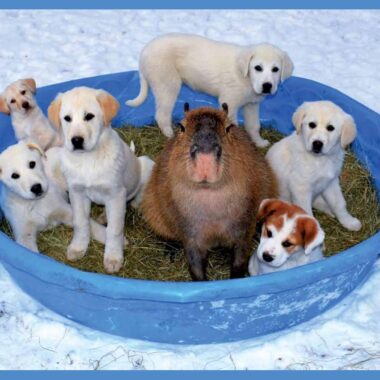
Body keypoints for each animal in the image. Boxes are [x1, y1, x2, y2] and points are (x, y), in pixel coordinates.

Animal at [49, 87, 145, 274]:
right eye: (67, 118)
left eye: (89, 116)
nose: (76, 140)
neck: (87, 158)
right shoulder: (77, 193)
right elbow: (81, 222)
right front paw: (78, 247)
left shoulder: (116, 194)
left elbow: (115, 229)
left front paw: (113, 258)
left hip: (146, 164)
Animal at [127, 32, 294, 147]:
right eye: (258, 68)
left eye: (275, 69)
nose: (267, 86)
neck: (246, 76)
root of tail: (144, 51)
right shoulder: (229, 102)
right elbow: (232, 126)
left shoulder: (251, 105)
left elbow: (254, 126)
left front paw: (259, 143)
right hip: (167, 84)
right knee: (161, 115)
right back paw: (170, 134)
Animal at [141, 102, 278, 280]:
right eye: (181, 127)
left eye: (229, 127)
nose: (205, 158)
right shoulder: (190, 235)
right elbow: (195, 266)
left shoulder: (243, 228)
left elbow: (239, 260)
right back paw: (170, 251)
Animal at [266, 100, 360, 232]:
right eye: (312, 125)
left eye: (330, 128)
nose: (317, 144)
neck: (320, 159)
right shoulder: (301, 188)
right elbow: (307, 213)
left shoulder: (330, 182)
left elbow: (339, 203)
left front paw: (349, 222)